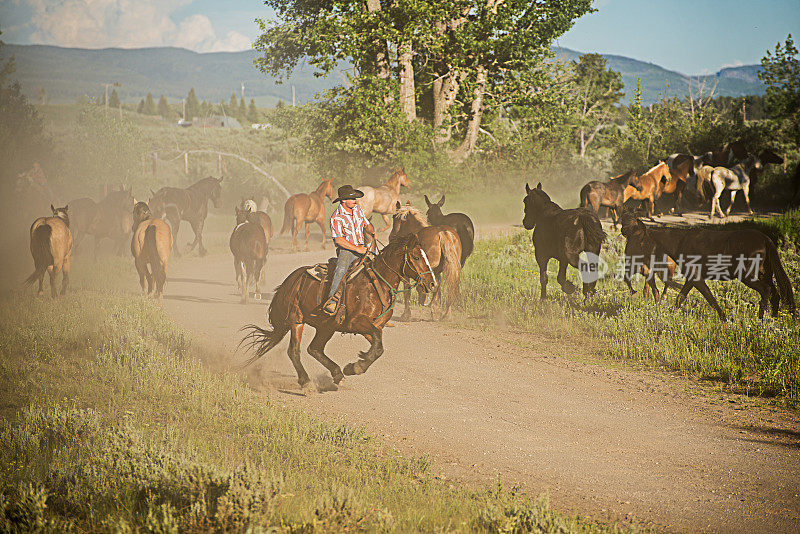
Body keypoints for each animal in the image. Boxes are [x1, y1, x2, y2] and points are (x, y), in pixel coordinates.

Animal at [241, 234, 434, 390]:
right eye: (416, 256)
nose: (432, 284)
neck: (376, 283)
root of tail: (290, 281)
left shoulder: (372, 326)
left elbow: (378, 348)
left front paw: (353, 366)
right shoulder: (358, 323)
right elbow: (378, 346)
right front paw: (357, 366)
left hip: (326, 326)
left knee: (315, 349)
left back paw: (338, 374)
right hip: (297, 319)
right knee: (294, 351)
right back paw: (306, 381)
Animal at [648, 224, 796, 320]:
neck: (680, 241)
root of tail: (766, 239)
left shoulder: (695, 277)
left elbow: (709, 297)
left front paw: (724, 318)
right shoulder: (691, 279)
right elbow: (681, 297)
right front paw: (668, 316)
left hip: (748, 276)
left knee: (766, 290)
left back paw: (760, 319)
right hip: (764, 275)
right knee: (775, 294)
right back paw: (773, 320)